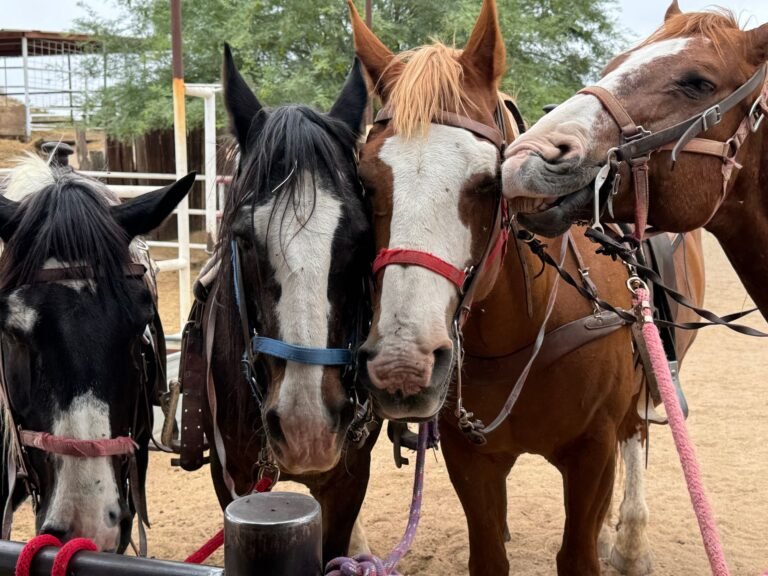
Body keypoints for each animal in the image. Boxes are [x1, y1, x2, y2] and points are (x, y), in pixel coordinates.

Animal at [348, 0, 705, 574]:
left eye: (487, 182)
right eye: (365, 180)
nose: (403, 366)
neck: (526, 326)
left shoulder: (592, 453)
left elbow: (579, 550)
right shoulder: (472, 459)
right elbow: (490, 552)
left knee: (637, 435)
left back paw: (630, 542)